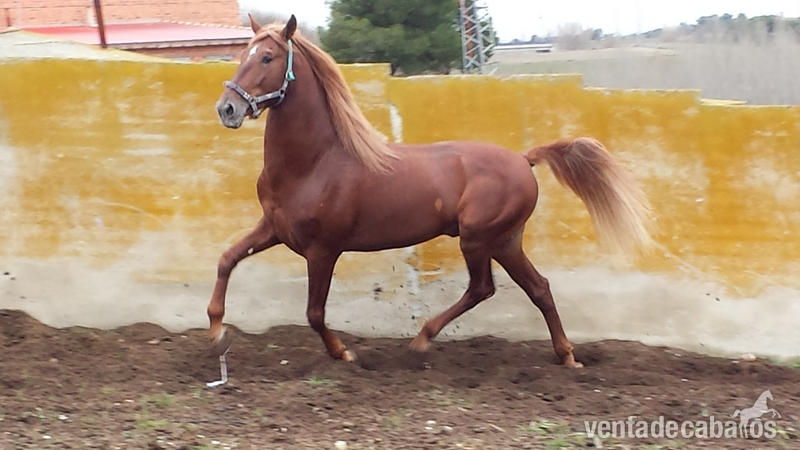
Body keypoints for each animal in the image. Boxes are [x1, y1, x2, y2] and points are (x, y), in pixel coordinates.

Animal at [207, 14, 654, 369]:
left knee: (483, 288)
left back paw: (422, 339)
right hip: (506, 241)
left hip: (478, 238)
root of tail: (524, 159)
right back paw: (568, 357)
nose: (227, 108)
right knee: (539, 288)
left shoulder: (323, 250)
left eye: (267, 57)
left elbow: (314, 313)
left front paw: (345, 354)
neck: (315, 162)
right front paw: (216, 331)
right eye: (242, 54)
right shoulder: (273, 229)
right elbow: (227, 259)